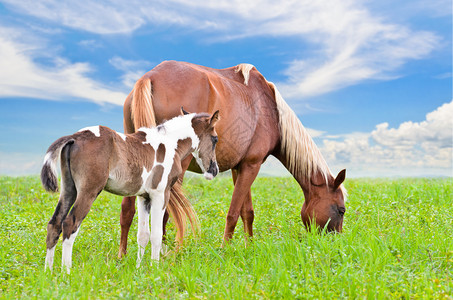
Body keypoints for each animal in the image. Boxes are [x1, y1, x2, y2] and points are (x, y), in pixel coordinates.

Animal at [40, 110, 219, 274]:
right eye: (215, 139)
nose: (214, 170)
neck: (169, 143)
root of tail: (75, 137)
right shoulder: (160, 194)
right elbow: (156, 234)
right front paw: (155, 269)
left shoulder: (143, 197)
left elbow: (143, 235)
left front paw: (139, 269)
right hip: (88, 191)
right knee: (70, 224)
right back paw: (66, 272)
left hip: (69, 190)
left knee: (54, 223)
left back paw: (48, 272)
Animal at [117, 61, 346, 258]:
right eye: (341, 210)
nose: (336, 243)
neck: (272, 112)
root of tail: (150, 77)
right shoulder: (252, 165)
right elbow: (234, 213)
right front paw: (225, 250)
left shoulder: (240, 167)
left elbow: (247, 212)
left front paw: (249, 247)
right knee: (163, 212)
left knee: (128, 209)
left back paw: (123, 255)